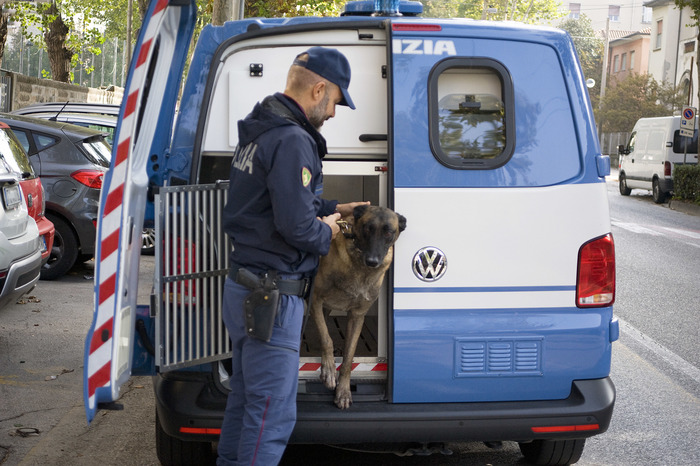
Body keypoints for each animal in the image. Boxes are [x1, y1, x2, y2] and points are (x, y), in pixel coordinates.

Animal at [310, 206, 404, 410]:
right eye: (368, 228)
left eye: (388, 232)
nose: (373, 261)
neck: (359, 266)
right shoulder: (315, 300)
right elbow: (326, 338)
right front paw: (329, 369)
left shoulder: (357, 316)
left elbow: (348, 357)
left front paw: (343, 391)